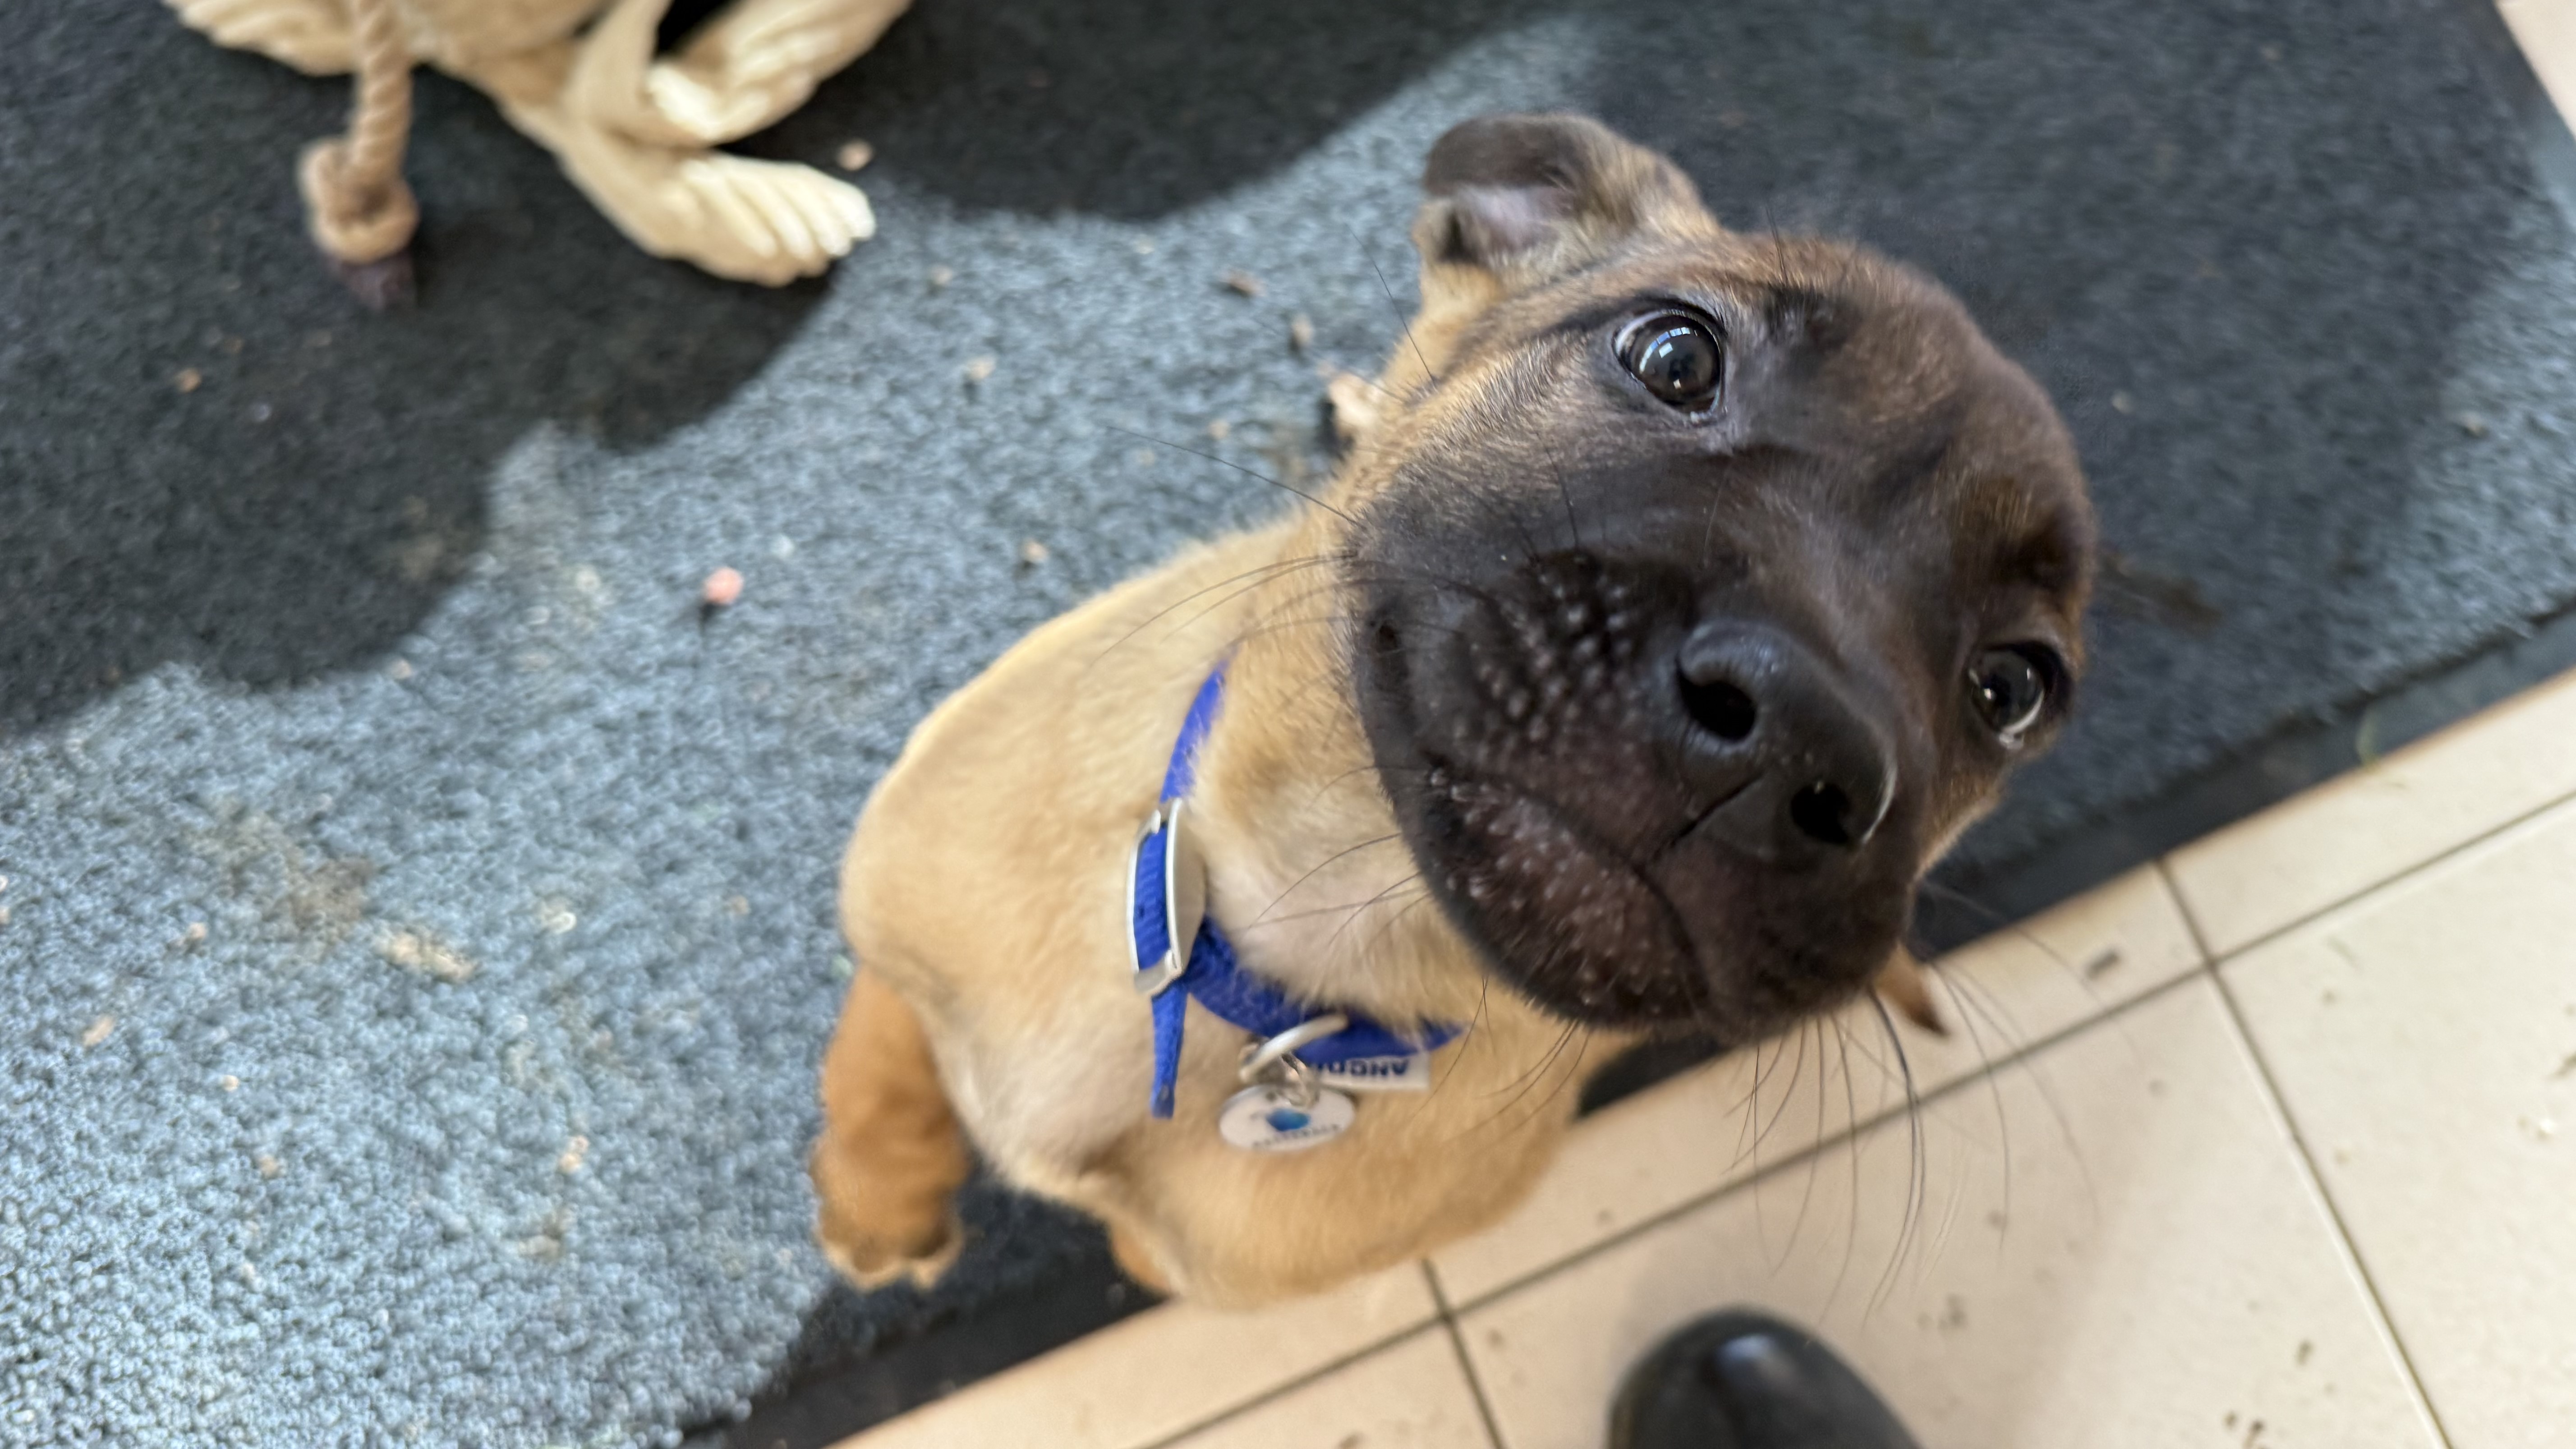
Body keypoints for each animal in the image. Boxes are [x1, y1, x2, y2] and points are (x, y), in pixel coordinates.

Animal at [809, 113, 2095, 1307]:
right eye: (1676, 356)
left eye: (2012, 689)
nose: (1792, 736)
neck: (1303, 936)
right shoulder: (902, 874)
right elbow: (881, 1042)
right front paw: (883, 1200)